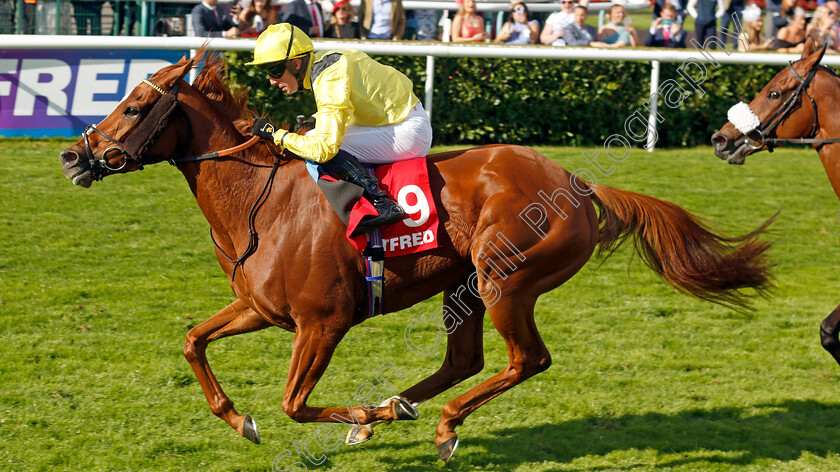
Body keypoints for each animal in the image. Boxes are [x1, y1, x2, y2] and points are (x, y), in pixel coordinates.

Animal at [60, 49, 776, 460]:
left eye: (138, 105)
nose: (73, 155)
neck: (261, 204)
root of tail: (577, 181)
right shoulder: (261, 308)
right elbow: (193, 341)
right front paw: (241, 420)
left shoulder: (323, 323)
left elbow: (294, 403)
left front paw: (349, 418)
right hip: (465, 285)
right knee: (466, 360)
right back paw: (402, 407)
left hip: (506, 279)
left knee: (526, 359)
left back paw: (440, 424)